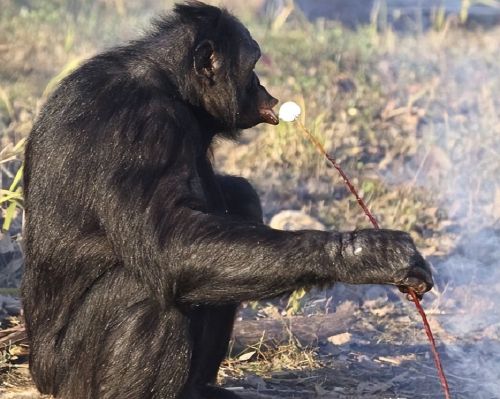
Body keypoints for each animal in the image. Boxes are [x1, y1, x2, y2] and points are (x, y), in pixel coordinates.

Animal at [21, 1, 432, 398]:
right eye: (253, 64)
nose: (262, 86)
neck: (172, 86)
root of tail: (39, 376)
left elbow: (226, 205)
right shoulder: (138, 128)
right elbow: (169, 242)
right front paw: (368, 254)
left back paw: (200, 390)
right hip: (70, 381)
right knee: (148, 294)